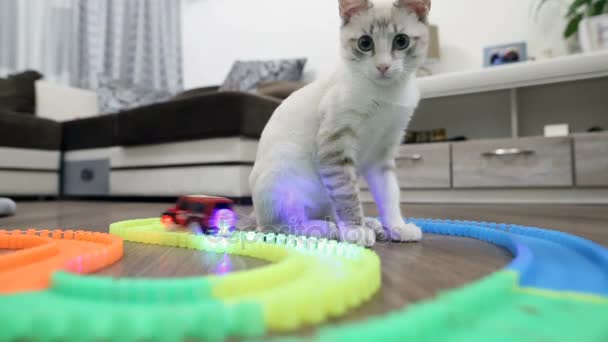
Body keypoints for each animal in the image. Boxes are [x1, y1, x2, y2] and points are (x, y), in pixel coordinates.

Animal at [248, 0, 432, 246]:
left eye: (401, 41)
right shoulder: (335, 146)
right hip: (285, 181)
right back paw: (326, 228)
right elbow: (347, 194)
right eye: (365, 43)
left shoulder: (382, 154)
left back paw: (372, 224)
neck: (386, 95)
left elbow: (389, 194)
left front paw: (397, 227)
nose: (383, 67)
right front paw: (355, 230)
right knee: (281, 226)